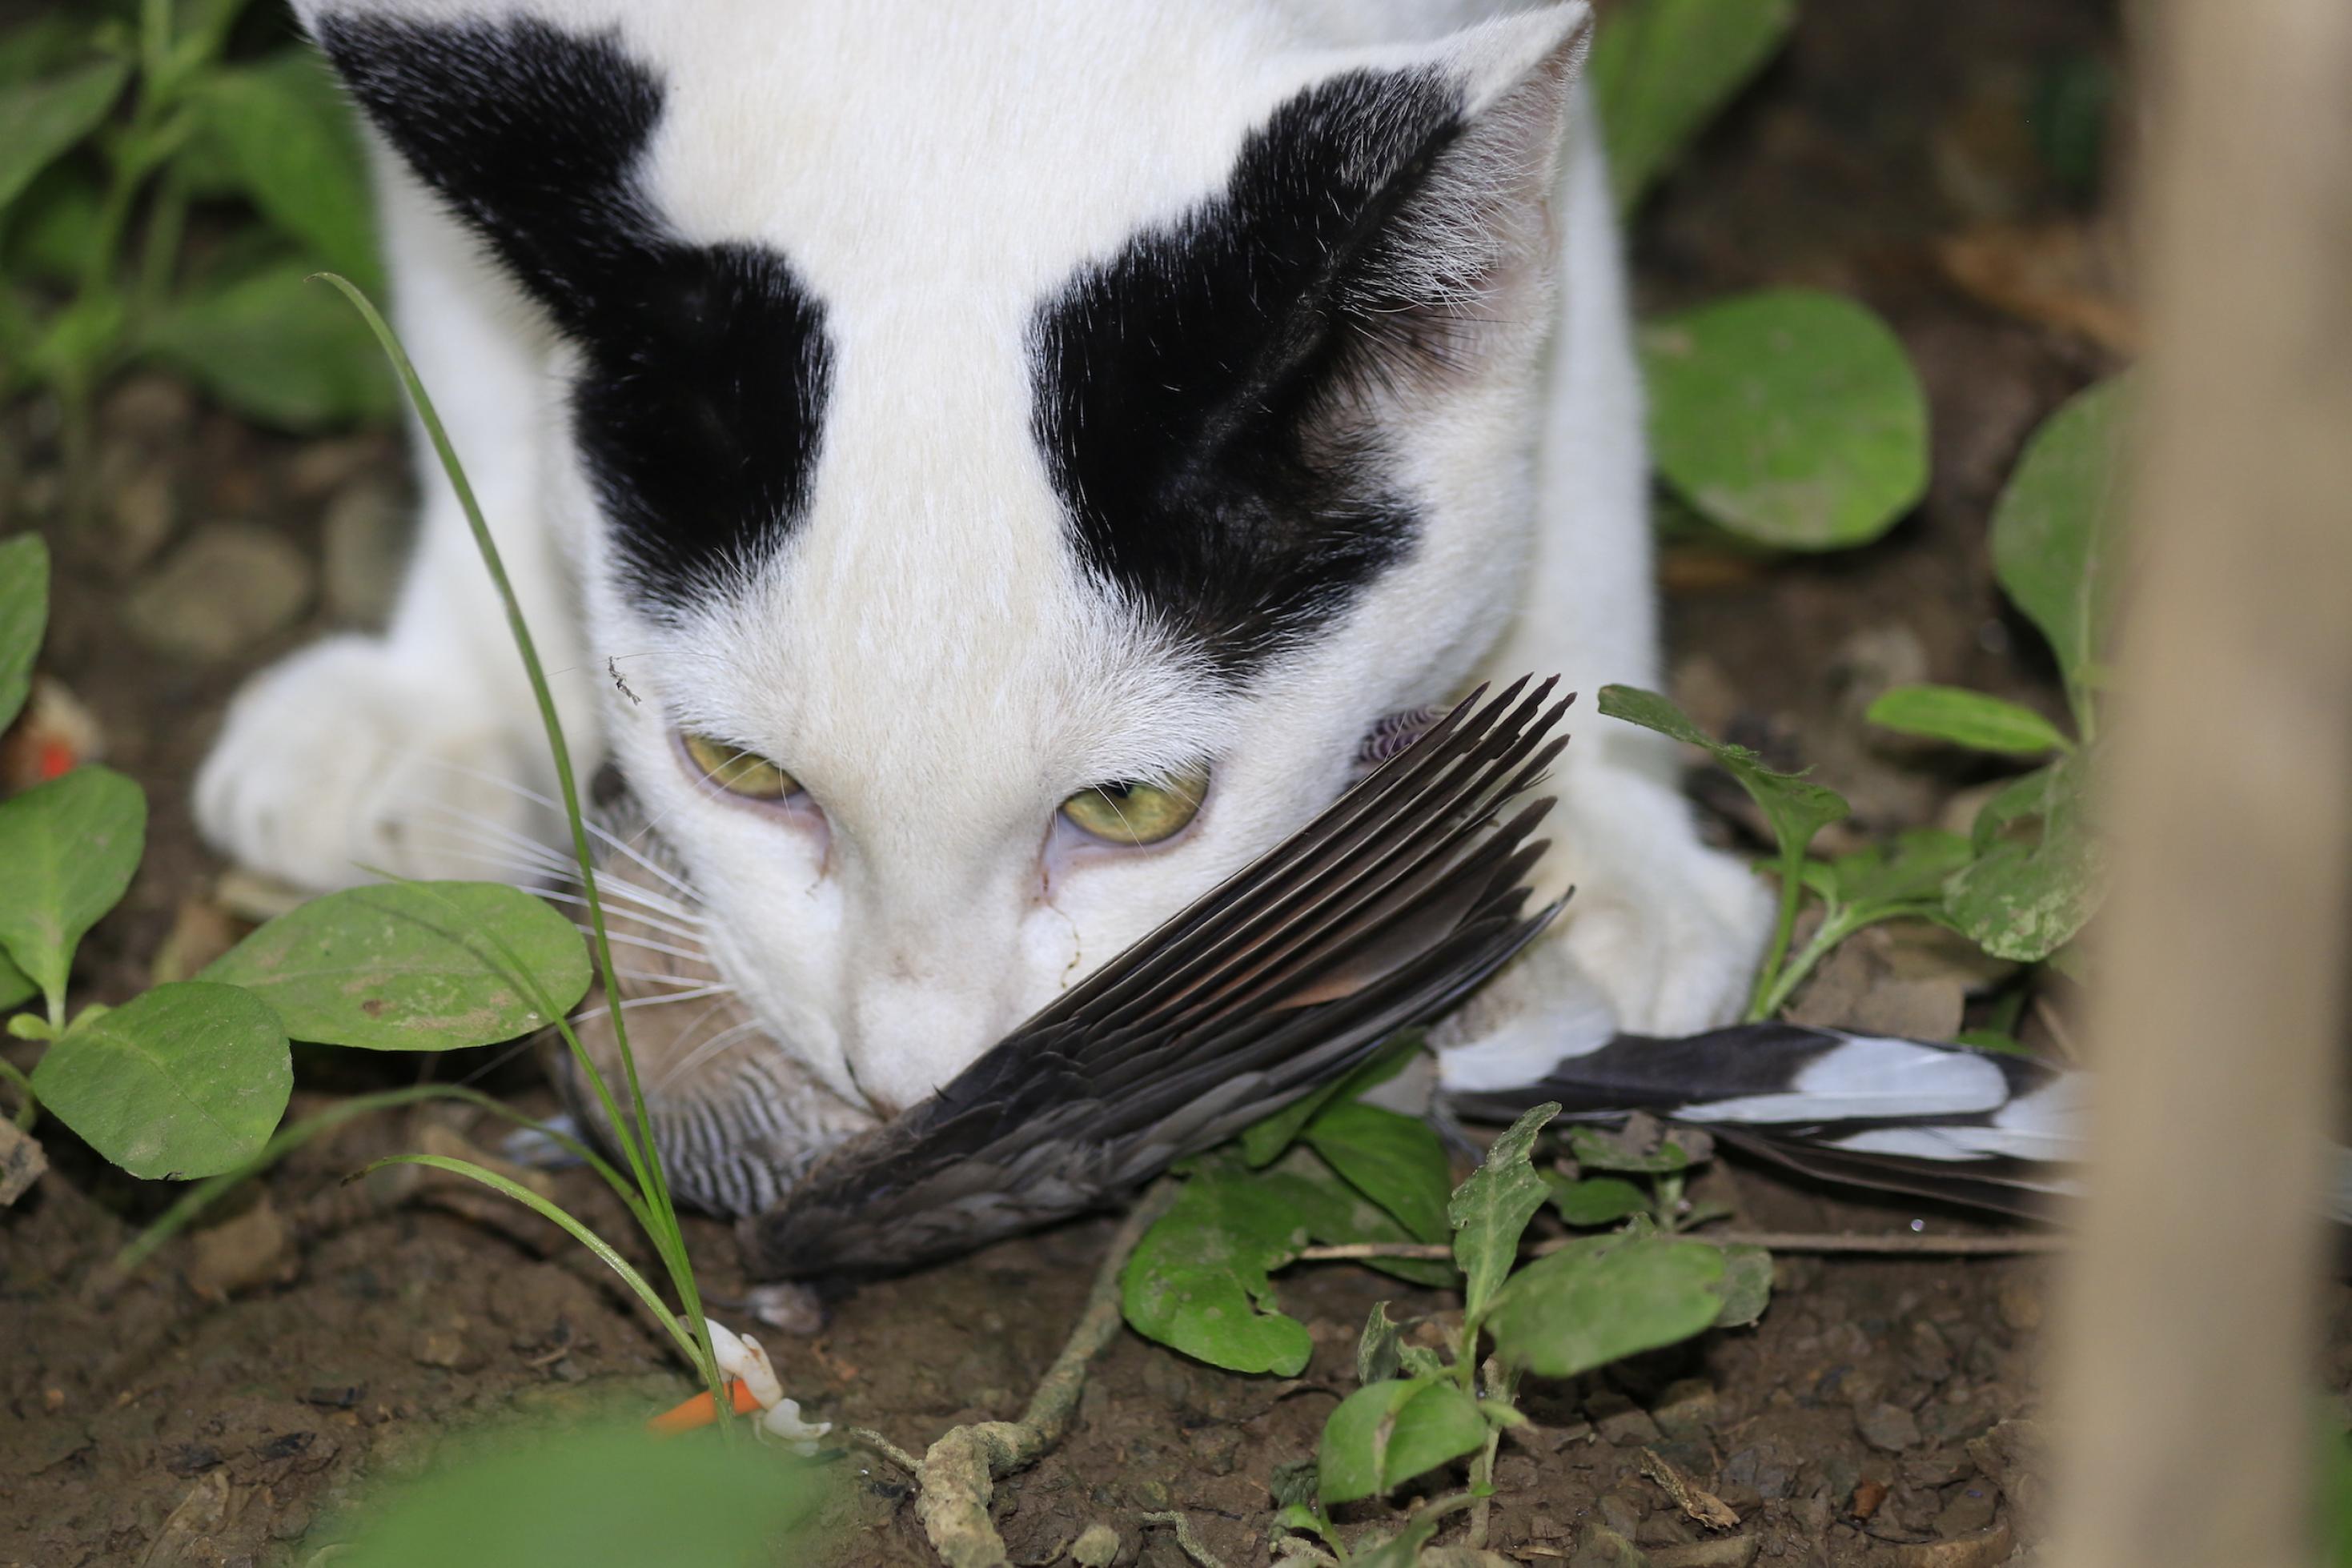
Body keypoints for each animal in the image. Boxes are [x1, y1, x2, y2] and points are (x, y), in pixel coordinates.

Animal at [202, 0, 1768, 1165]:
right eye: (739, 771)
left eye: (1132, 806)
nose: (917, 1082)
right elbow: (454, 335)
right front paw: (453, 692)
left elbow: (1566, 383)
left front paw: (1577, 836)